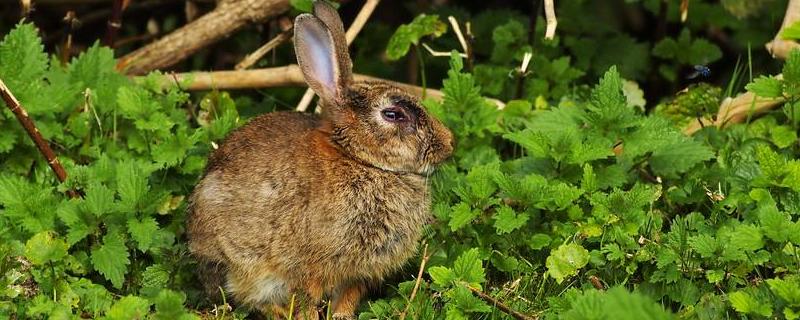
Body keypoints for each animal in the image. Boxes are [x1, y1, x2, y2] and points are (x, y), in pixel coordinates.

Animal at [184, 1, 454, 318]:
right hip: (238, 264)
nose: (449, 144)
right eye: (392, 114)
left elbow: (347, 297)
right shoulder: (305, 267)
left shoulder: (355, 275)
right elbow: (306, 298)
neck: (359, 159)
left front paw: (341, 315)